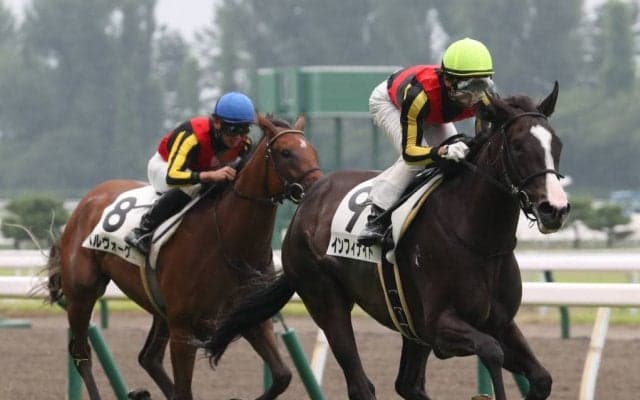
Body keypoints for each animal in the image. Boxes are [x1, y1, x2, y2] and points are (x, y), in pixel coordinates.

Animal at [46, 114, 322, 400]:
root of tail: (87, 200)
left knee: (148, 358)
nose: (318, 186)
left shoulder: (250, 318)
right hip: (82, 293)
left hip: (159, 309)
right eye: (285, 152)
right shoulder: (183, 330)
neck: (230, 244)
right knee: (83, 355)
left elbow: (283, 376)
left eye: (312, 151)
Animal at [200, 83, 570, 400]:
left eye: (557, 145)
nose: (555, 209)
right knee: (361, 384)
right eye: (518, 146)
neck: (480, 241)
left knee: (408, 385)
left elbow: (541, 378)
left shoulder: (499, 323)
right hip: (325, 299)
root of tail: (309, 199)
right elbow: (491, 352)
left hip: (408, 320)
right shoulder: (441, 326)